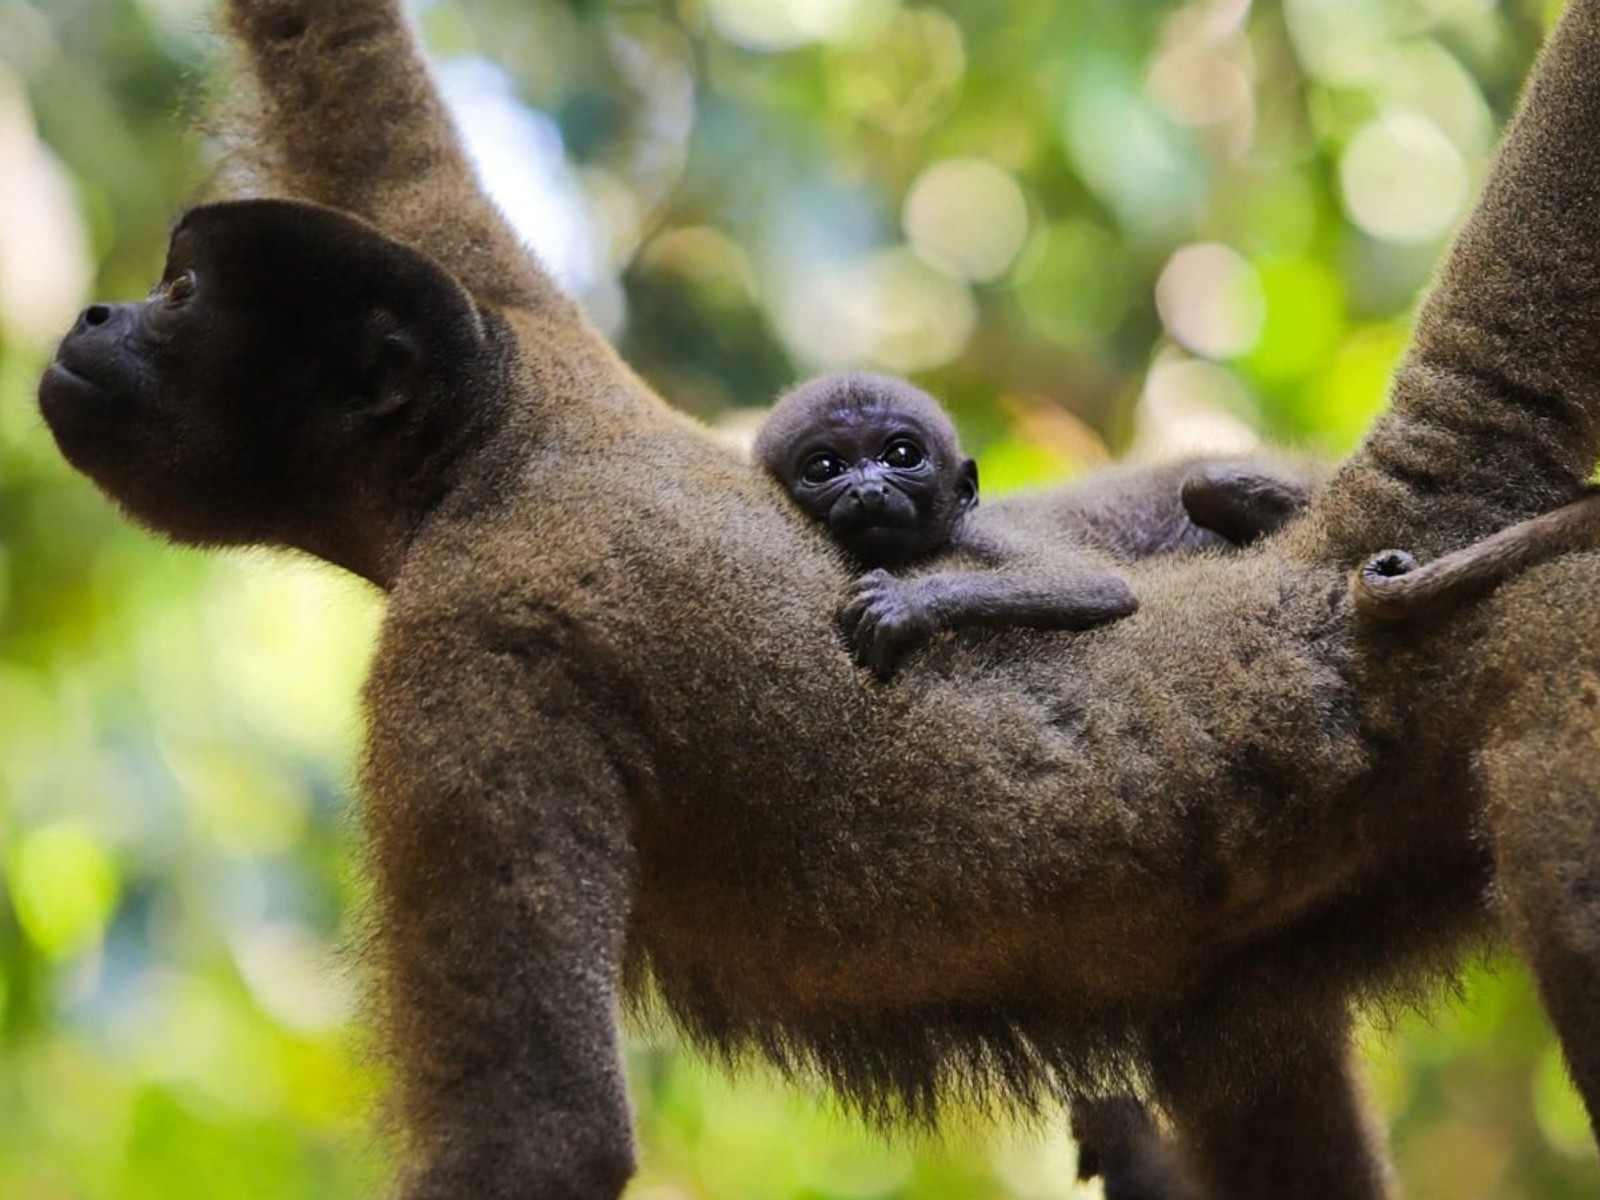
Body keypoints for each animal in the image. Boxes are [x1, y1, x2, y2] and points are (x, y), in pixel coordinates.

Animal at [754, 371, 1315, 677]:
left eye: (902, 456)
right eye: (824, 468)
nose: (869, 490)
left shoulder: (982, 530)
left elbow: (1096, 584)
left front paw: (908, 603)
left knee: (1203, 485)